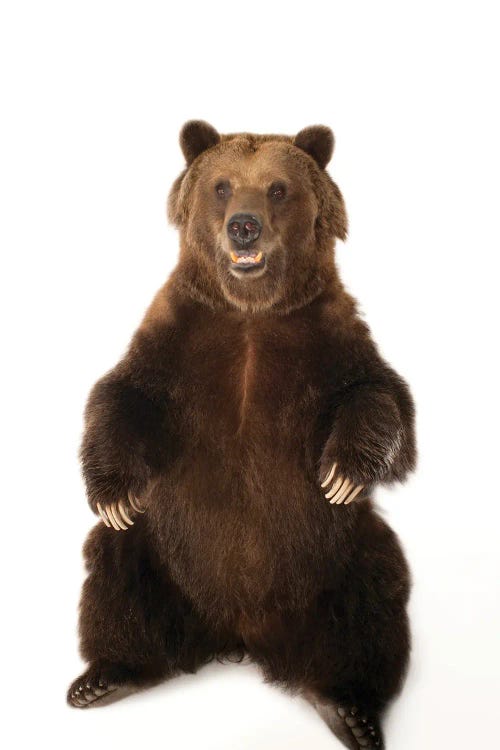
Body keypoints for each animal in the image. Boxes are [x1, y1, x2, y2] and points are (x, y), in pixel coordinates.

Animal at [67, 120, 418, 748]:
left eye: (278, 188)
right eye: (222, 186)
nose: (244, 224)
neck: (251, 308)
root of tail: (241, 633)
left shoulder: (328, 335)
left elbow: (380, 396)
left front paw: (344, 471)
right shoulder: (177, 333)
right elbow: (121, 397)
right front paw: (111, 492)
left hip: (338, 558)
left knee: (373, 599)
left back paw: (350, 708)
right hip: (163, 553)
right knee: (115, 569)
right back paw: (106, 677)